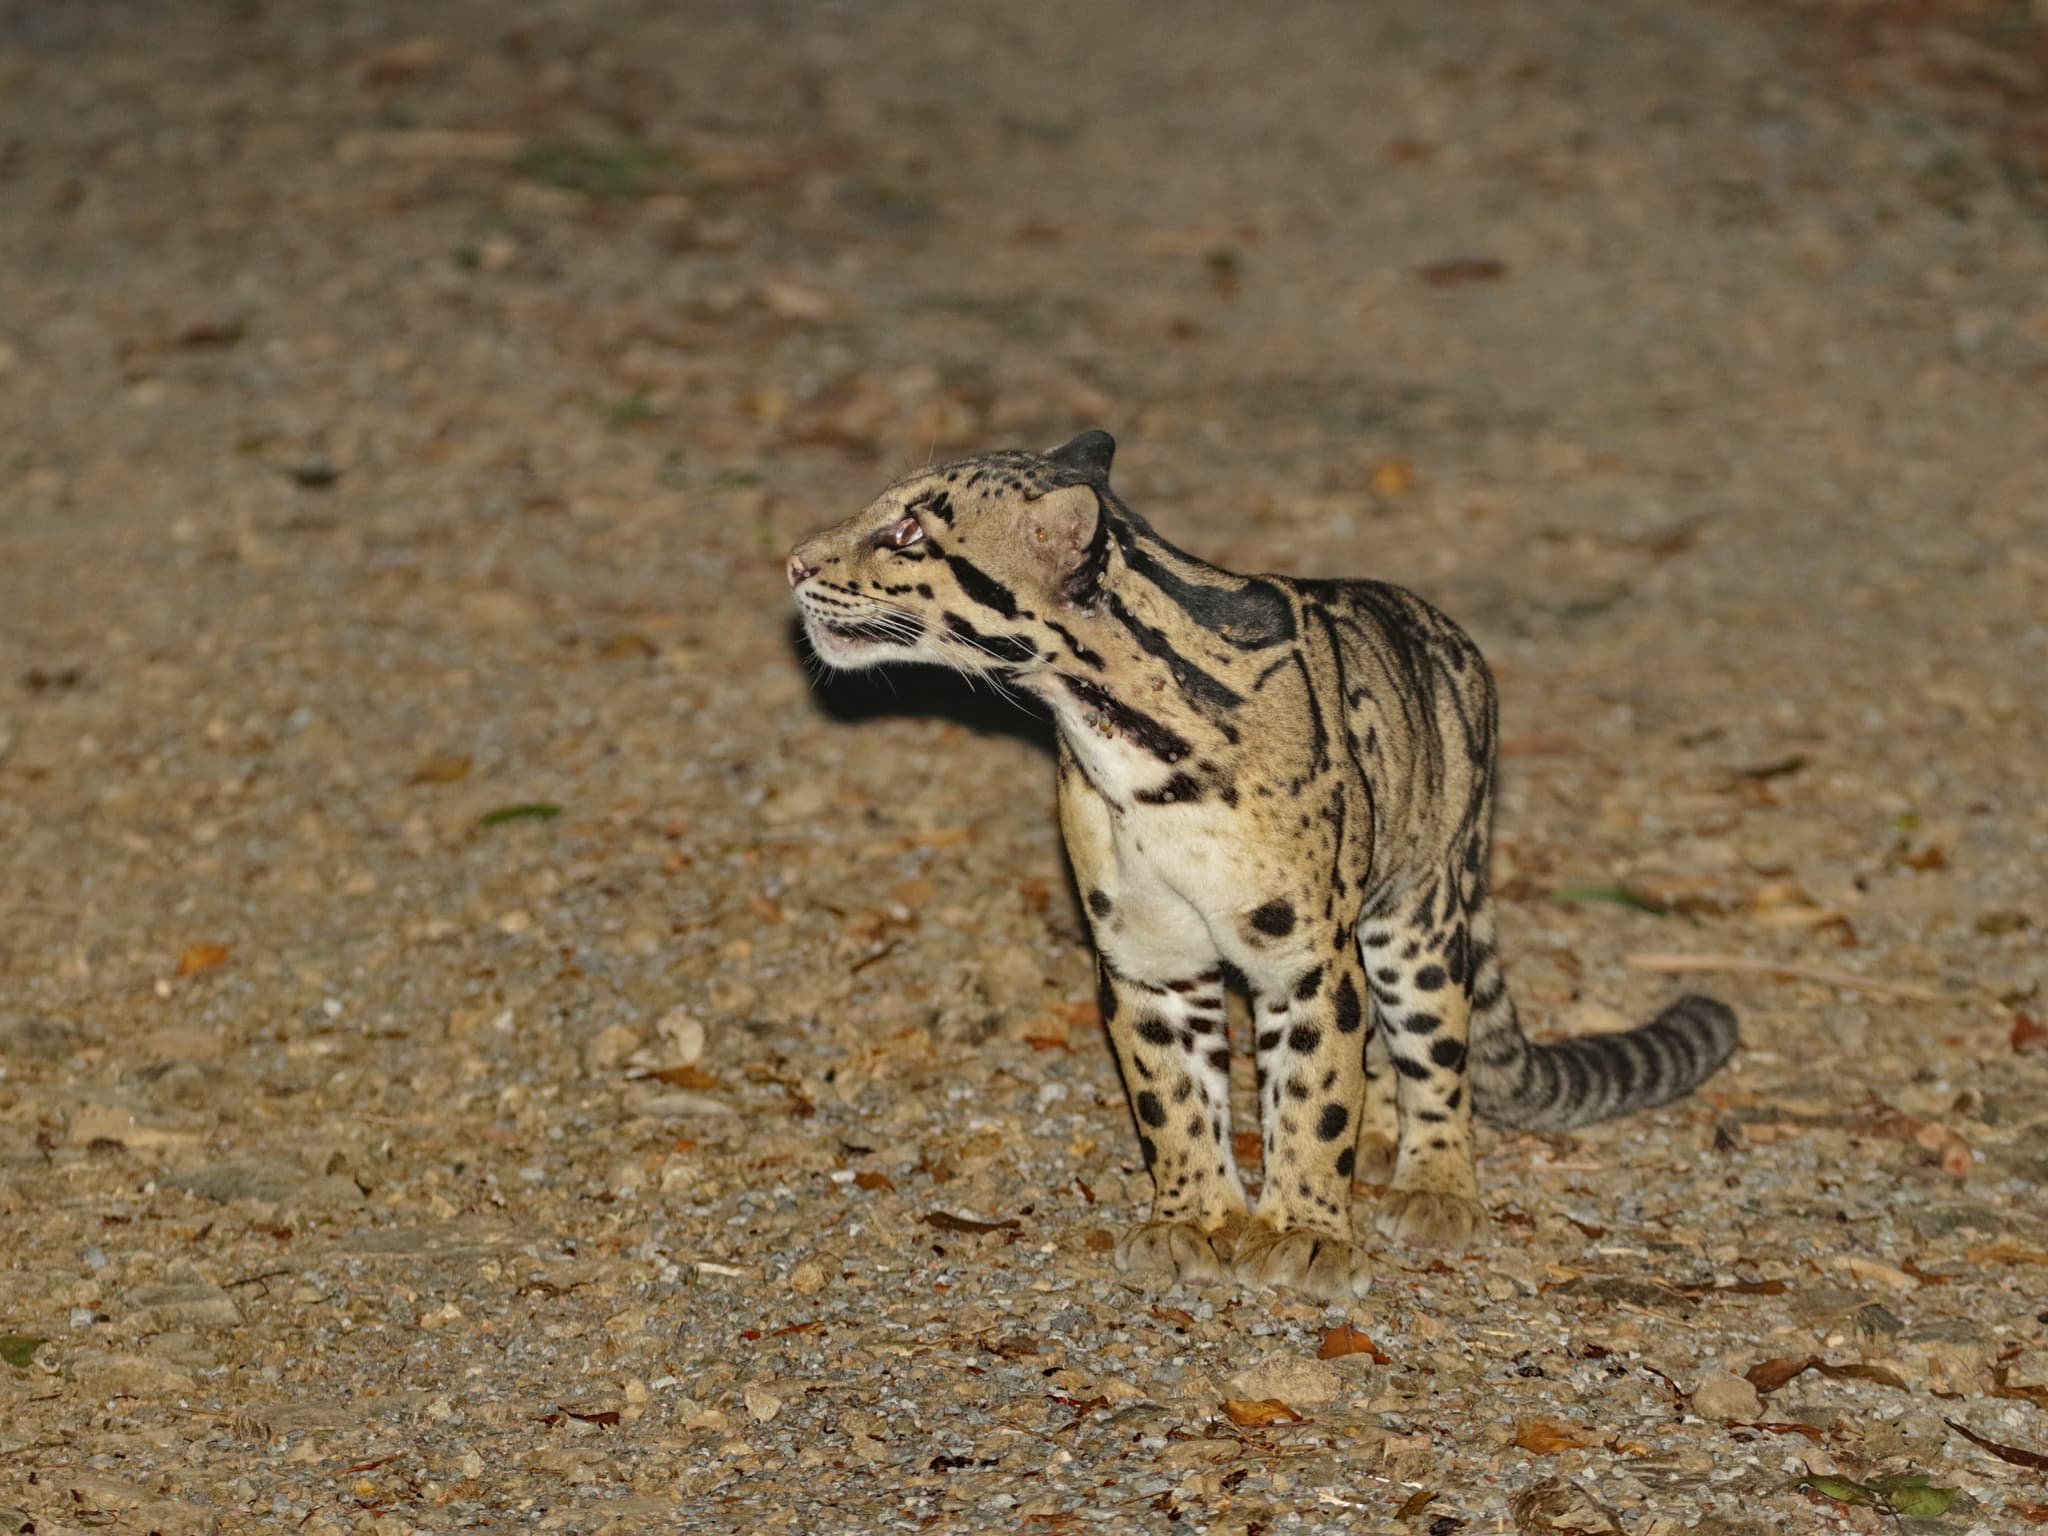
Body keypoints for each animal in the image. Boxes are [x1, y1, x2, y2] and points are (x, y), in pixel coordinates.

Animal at [787, 430, 1738, 1300]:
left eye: (909, 532)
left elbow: (1313, 1094)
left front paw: (1307, 1232)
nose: (793, 560)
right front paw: (1198, 1218)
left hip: (1417, 918)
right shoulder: (1146, 955)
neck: (1124, 745)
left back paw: (1433, 1180)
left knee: (1438, 1053)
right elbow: (1172, 1097)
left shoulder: (1308, 953)